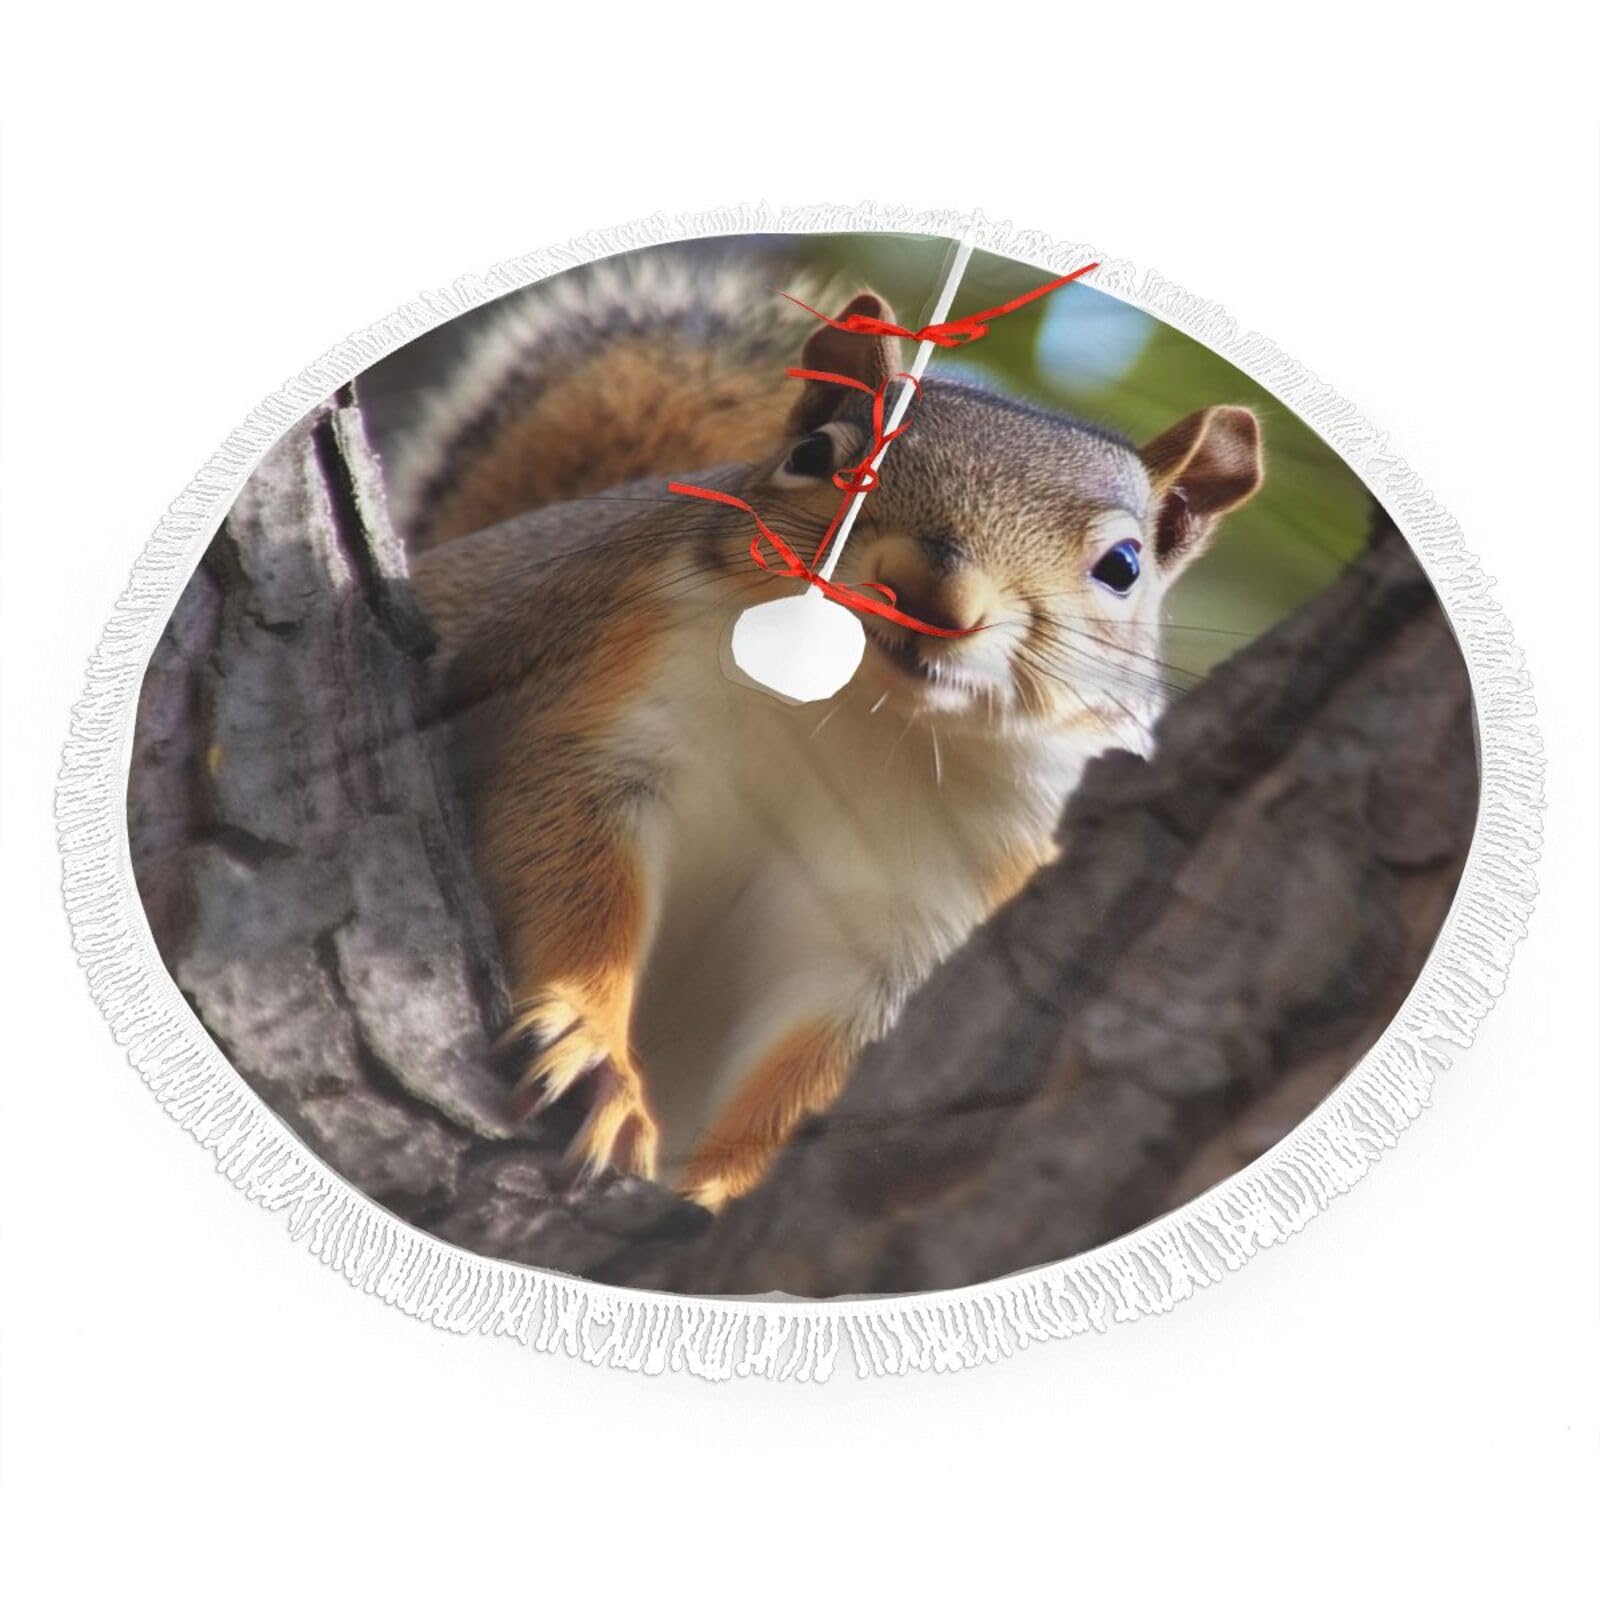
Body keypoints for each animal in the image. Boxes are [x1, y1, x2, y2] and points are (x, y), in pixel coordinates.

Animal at [397, 244, 1265, 1210]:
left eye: (1122, 566)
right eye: (813, 455)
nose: (930, 593)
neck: (858, 720)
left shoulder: (923, 925)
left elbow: (818, 1072)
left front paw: (722, 1191)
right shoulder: (589, 704)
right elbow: (566, 865)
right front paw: (594, 1058)